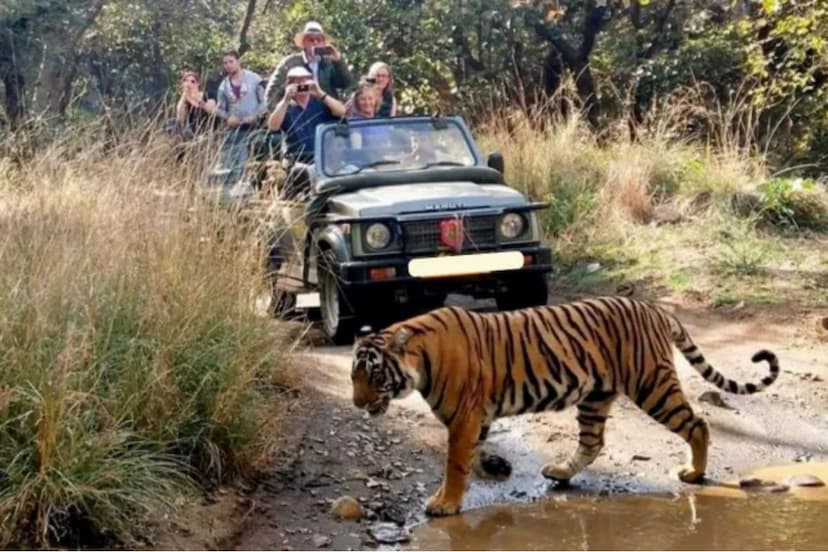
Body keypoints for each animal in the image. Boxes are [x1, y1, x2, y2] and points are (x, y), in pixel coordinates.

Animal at [350, 298, 776, 516]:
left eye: (374, 374)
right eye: (354, 377)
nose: (357, 403)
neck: (420, 361)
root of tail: (654, 308)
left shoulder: (465, 417)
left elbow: (455, 463)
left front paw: (445, 503)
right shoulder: (476, 418)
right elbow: (469, 457)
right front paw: (476, 478)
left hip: (651, 385)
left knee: (698, 423)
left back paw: (694, 473)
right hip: (596, 396)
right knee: (592, 442)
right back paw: (559, 473)